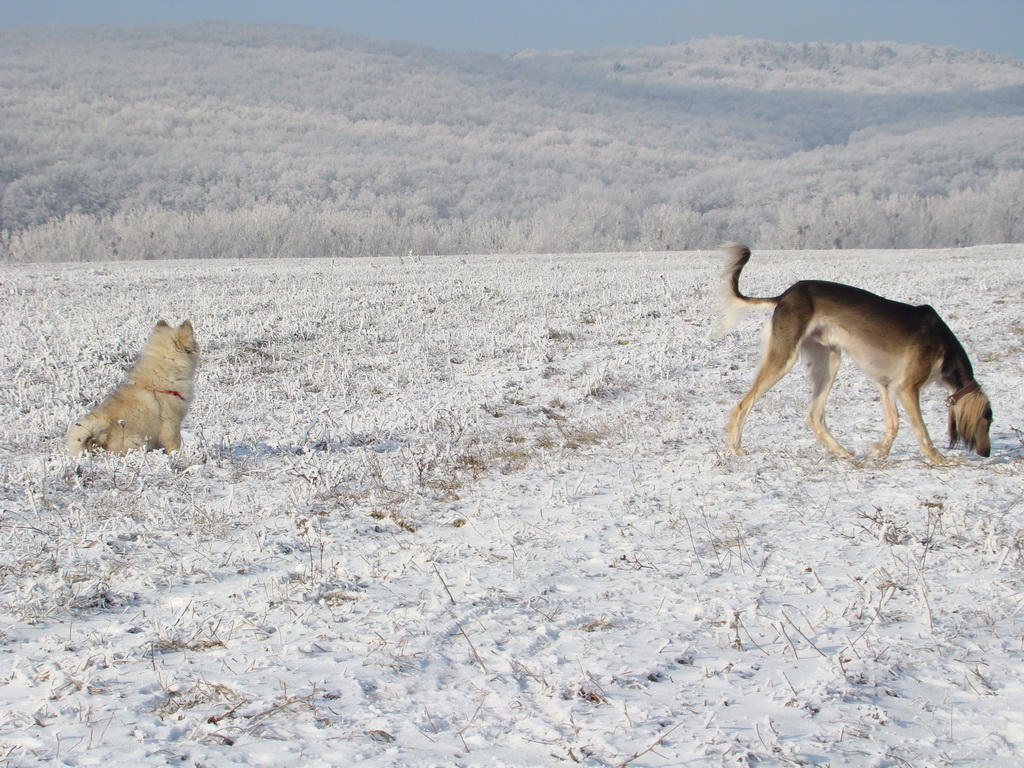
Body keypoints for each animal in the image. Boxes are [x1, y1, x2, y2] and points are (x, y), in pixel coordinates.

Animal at [716, 246, 987, 462]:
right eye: (988, 419)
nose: (986, 453)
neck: (944, 348)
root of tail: (785, 295)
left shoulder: (886, 384)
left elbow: (894, 423)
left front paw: (880, 451)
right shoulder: (907, 387)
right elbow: (921, 430)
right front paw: (939, 458)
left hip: (829, 360)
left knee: (815, 415)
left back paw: (840, 450)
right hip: (785, 358)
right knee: (742, 405)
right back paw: (735, 447)